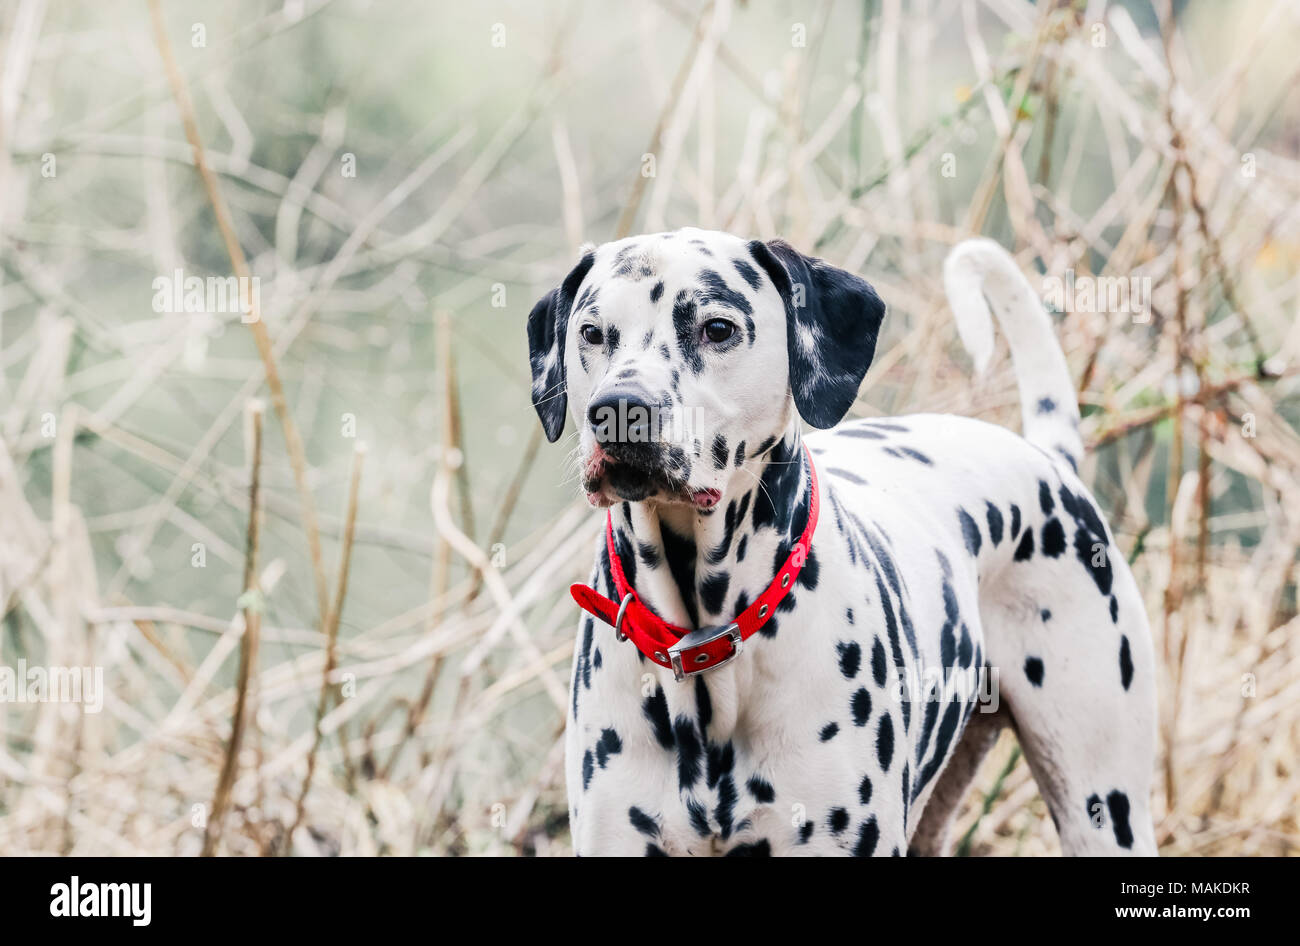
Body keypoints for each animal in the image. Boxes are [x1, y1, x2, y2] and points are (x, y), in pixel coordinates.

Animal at [525, 228, 1159, 857]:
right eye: (591, 332)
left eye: (717, 328)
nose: (619, 409)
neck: (708, 643)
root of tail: (1048, 458)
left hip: (1104, 808)